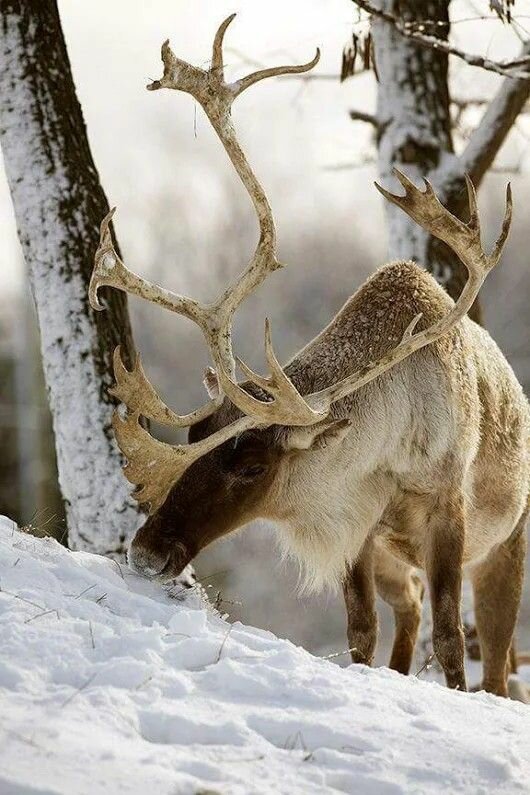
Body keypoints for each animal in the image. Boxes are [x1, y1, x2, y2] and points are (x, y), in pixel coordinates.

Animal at [89, 15, 529, 698]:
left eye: (251, 465)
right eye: (192, 436)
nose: (146, 552)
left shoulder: (446, 511)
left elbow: (454, 645)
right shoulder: (358, 529)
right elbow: (360, 632)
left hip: (508, 544)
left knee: (497, 656)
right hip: (397, 564)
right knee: (409, 612)